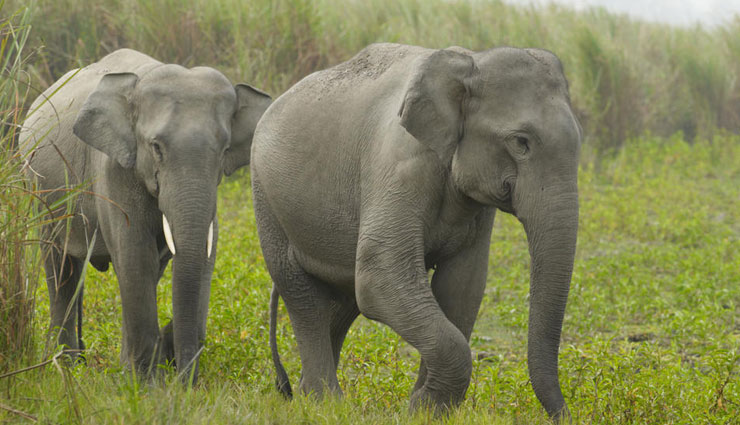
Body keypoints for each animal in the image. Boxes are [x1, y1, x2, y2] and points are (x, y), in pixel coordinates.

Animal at [19, 48, 271, 383]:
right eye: (156, 147)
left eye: (224, 149)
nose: (184, 381)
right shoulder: (113, 169)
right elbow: (135, 256)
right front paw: (144, 384)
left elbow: (182, 258)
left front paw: (141, 376)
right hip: (39, 191)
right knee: (61, 270)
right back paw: (67, 367)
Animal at [252, 43, 581, 421]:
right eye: (520, 142)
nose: (565, 416)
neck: (470, 62)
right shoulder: (401, 166)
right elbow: (381, 274)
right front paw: (423, 408)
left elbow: (462, 286)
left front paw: (425, 408)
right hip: (266, 198)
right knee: (302, 293)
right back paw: (324, 402)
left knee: (343, 298)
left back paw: (312, 396)